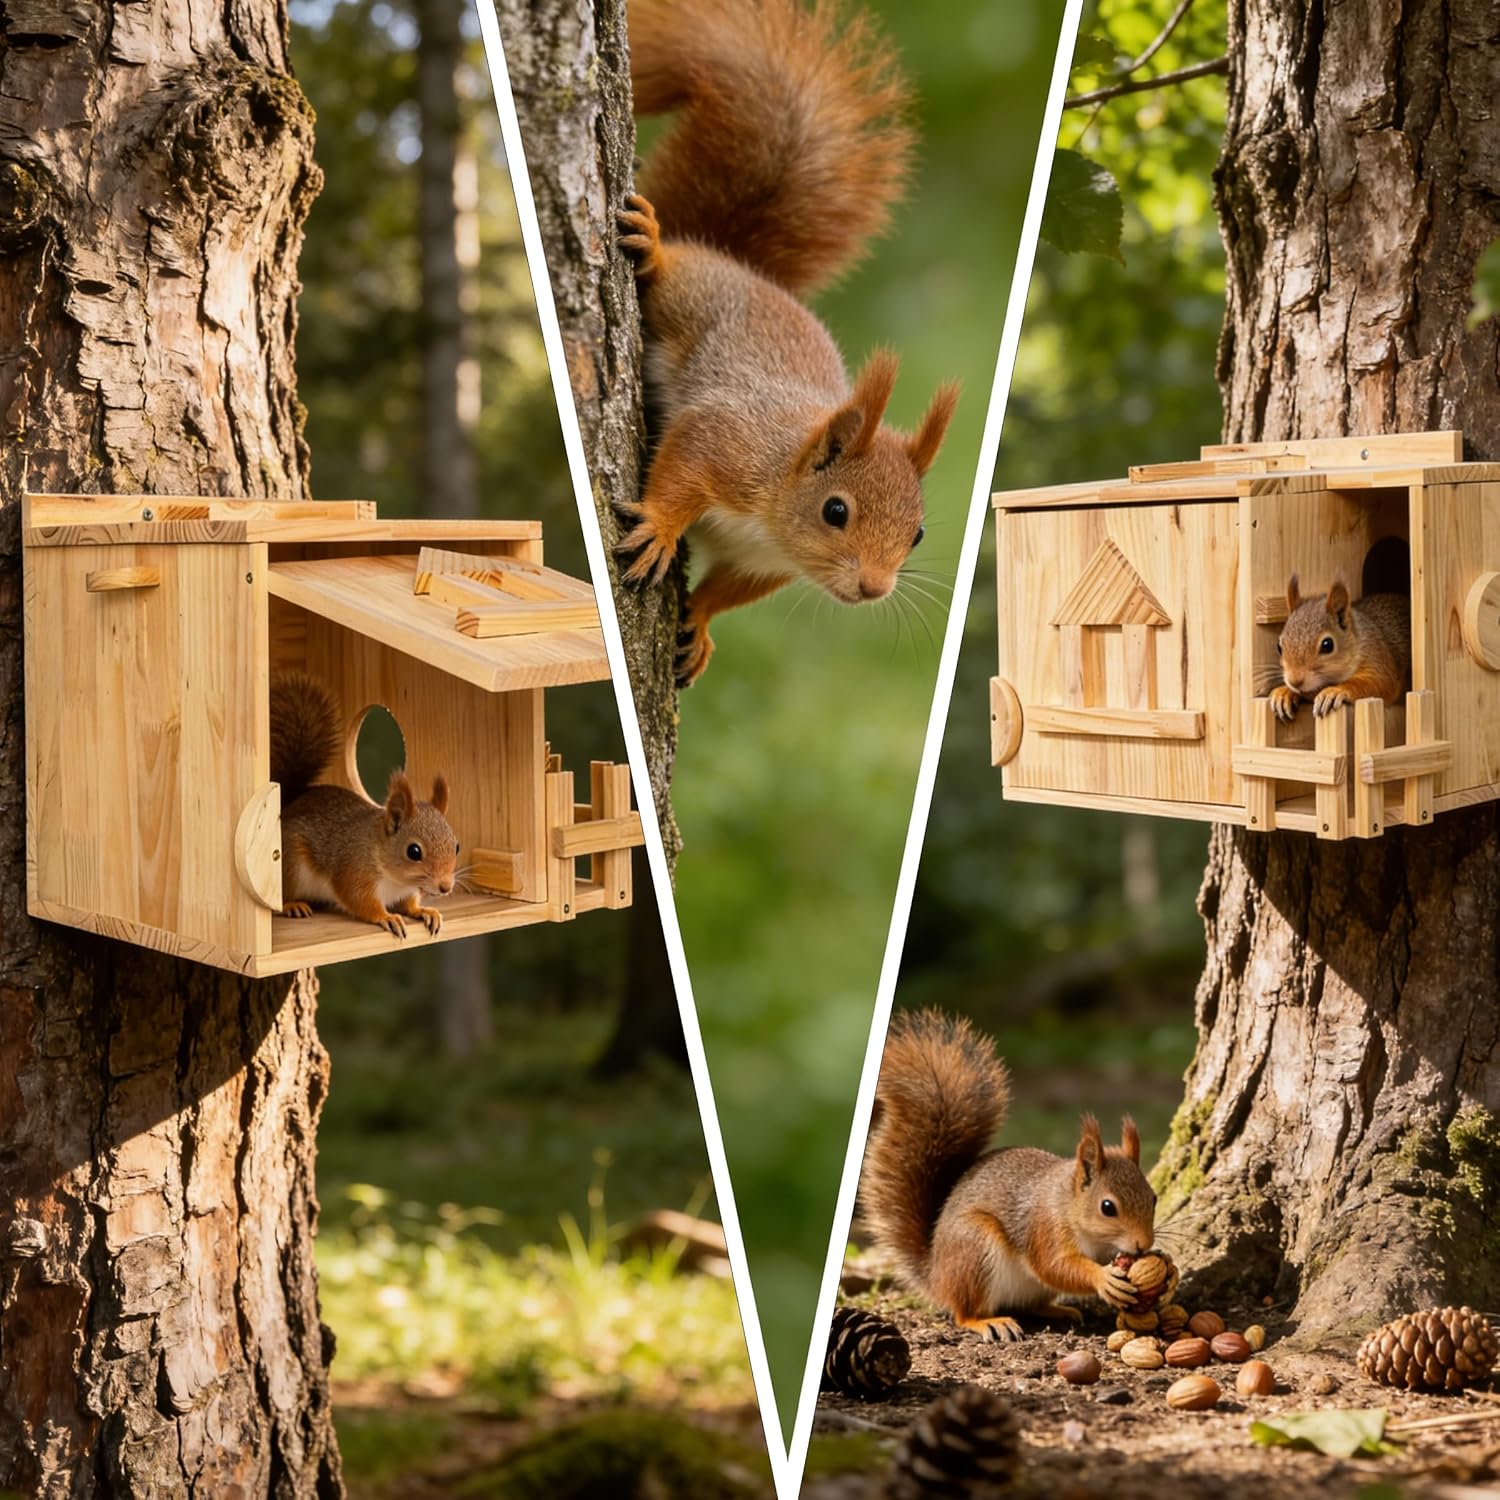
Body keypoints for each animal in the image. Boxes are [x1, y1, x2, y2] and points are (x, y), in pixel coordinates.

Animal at [269, 672, 459, 938]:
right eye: (414, 851)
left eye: (456, 846)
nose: (445, 887)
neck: (397, 879)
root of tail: (288, 804)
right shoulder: (354, 872)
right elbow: (359, 900)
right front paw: (387, 917)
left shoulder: (405, 891)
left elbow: (409, 904)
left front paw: (424, 911)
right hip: (290, 866)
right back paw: (293, 904)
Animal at [616, 0, 960, 687]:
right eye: (836, 511)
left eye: (917, 535)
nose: (874, 588)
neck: (772, 517)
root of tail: (743, 265)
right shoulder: (728, 442)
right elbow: (683, 465)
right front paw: (661, 529)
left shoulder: (763, 564)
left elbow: (726, 591)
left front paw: (700, 624)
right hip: (693, 294)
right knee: (674, 271)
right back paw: (659, 247)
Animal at [859, 1009, 1157, 1343]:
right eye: (1107, 1207)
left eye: (1154, 1198)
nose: (1144, 1244)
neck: (1068, 1205)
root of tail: (935, 1275)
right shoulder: (1046, 1228)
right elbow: (1055, 1266)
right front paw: (1103, 1277)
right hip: (974, 1249)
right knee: (964, 1311)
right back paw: (987, 1321)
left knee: (1029, 1304)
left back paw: (1057, 1310)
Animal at [1270, 576, 1411, 722]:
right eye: (1279, 646)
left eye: (1327, 645)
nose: (1295, 681)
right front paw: (1284, 692)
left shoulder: (1379, 659)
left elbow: (1380, 683)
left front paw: (1335, 691)